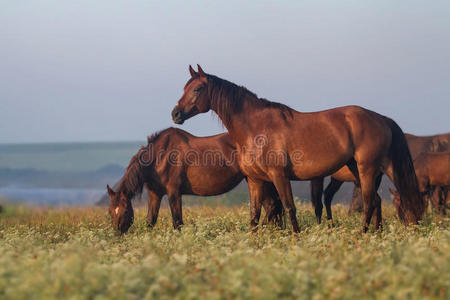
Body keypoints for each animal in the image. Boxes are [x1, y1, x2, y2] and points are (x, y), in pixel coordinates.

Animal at [106, 127, 284, 233]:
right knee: (272, 206)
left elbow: (177, 222)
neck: (159, 156)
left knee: (272, 206)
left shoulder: (174, 192)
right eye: (110, 211)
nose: (117, 234)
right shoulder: (155, 194)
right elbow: (150, 221)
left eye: (126, 211)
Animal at [171, 65, 424, 232]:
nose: (175, 114)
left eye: (197, 89)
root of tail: (381, 118)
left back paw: (363, 235)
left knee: (374, 201)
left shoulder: (279, 176)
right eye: (184, 88)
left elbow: (289, 207)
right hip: (358, 170)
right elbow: (254, 215)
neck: (255, 129)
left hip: (373, 169)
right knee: (378, 201)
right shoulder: (255, 180)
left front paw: (296, 237)